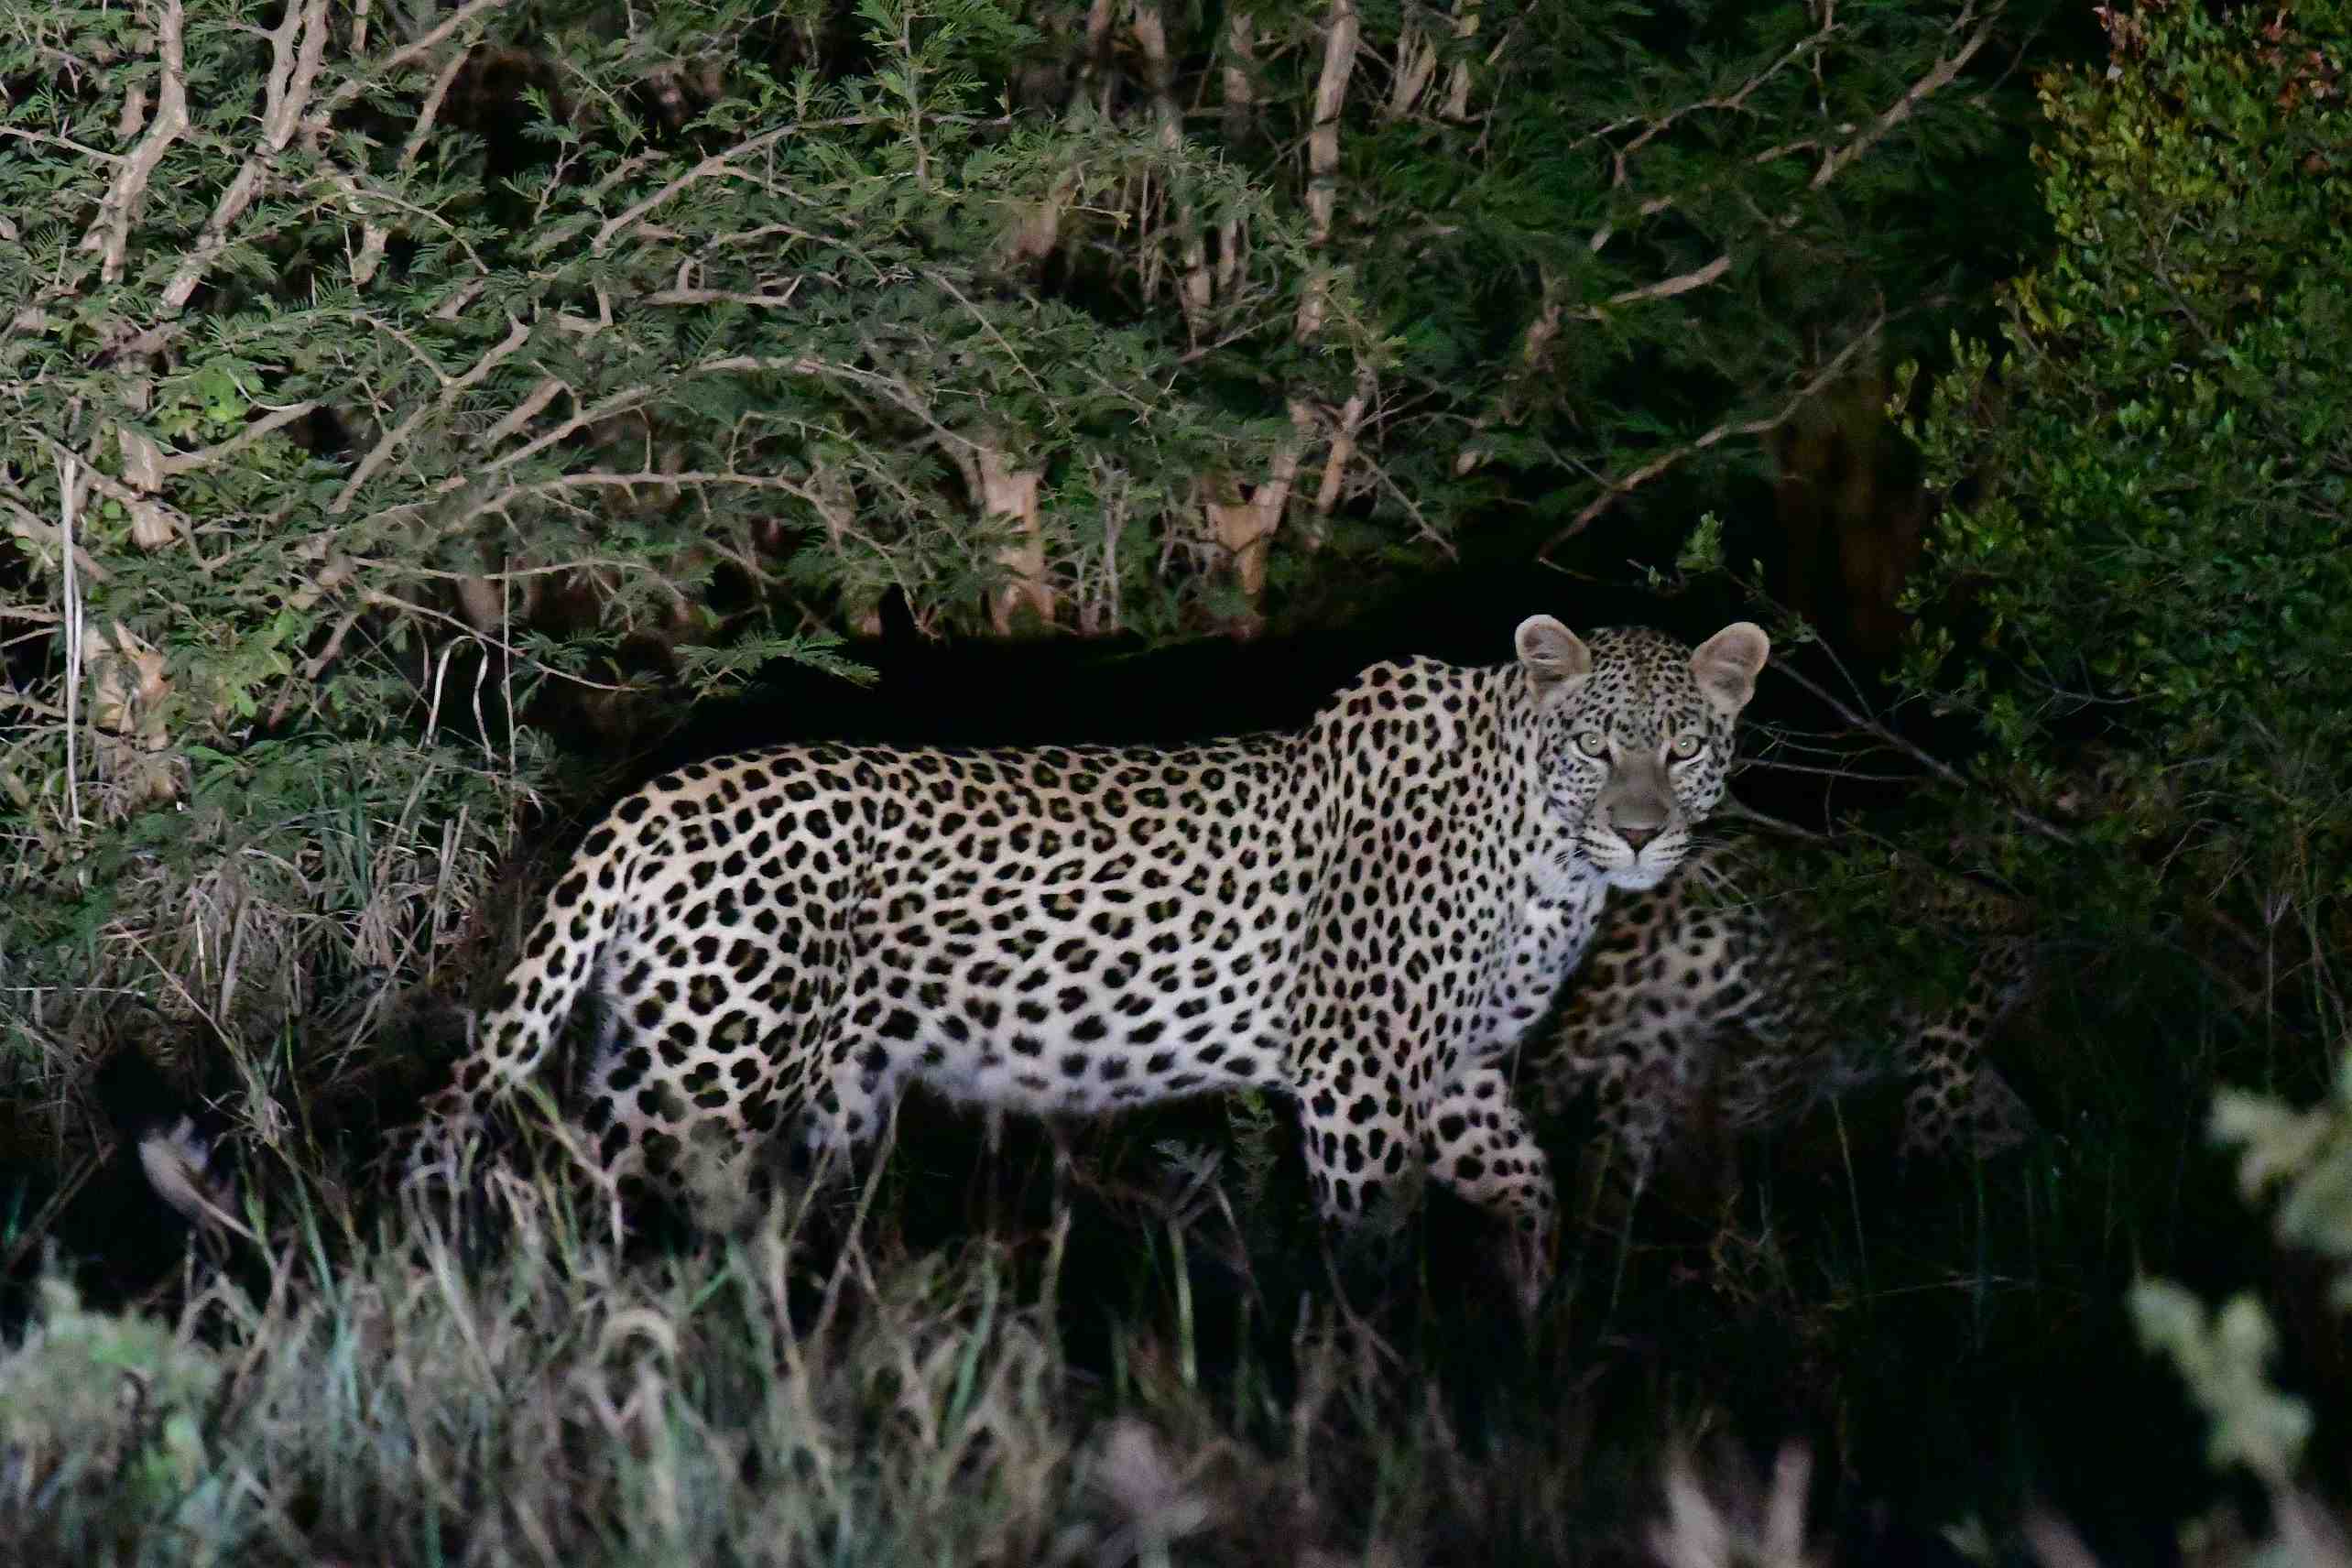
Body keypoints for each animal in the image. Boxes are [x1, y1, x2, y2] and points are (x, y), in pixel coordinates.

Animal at [423, 616, 1772, 1307]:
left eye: (1685, 747)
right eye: (1598, 747)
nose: (1641, 831)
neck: (1548, 860)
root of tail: (655, 797)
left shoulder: (1458, 1078)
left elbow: (1531, 1191)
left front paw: (1525, 1332)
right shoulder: (1362, 1078)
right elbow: (1371, 1247)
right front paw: (1375, 1384)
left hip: (745, 1068)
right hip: (712, 1070)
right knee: (570, 1189)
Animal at [1525, 838, 2038, 1222]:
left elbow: (2004, 1114)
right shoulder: (1948, 1035)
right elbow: (1936, 1133)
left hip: (1648, 1060)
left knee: (1608, 1186)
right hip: (1775, 1059)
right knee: (1718, 1147)